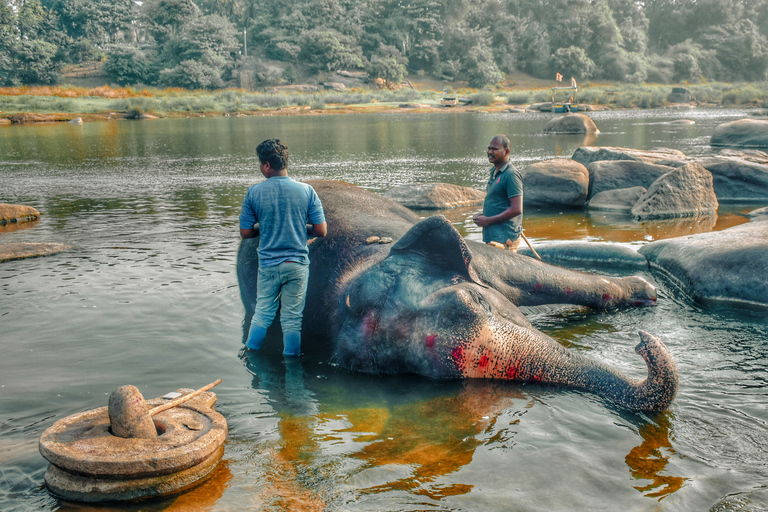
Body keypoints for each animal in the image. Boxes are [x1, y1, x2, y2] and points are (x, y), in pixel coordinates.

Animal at [236, 180, 680, 412]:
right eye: (430, 375)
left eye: (477, 302)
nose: (643, 343)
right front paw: (646, 294)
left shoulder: (470, 258)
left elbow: (518, 272)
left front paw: (645, 292)